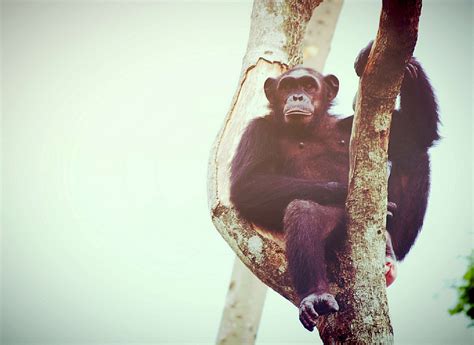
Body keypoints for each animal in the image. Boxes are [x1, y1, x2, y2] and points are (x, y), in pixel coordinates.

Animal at [230, 40, 440, 330]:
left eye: (309, 85)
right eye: (287, 86)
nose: (297, 96)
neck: (311, 130)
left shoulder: (350, 124)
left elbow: (419, 133)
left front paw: (375, 57)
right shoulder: (257, 130)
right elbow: (247, 185)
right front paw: (341, 192)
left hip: (400, 238)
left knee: (414, 153)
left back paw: (389, 248)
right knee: (303, 211)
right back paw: (316, 296)